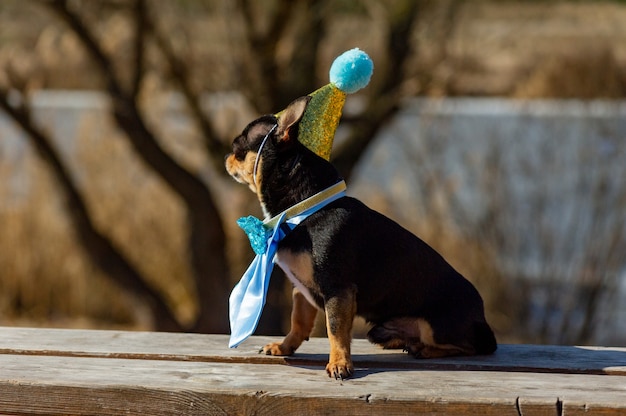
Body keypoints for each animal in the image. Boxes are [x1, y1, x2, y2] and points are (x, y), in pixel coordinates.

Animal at [225, 96, 498, 378]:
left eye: (238, 147)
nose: (227, 157)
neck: (302, 210)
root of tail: (481, 317)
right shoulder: (301, 289)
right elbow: (298, 322)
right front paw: (284, 347)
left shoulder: (337, 290)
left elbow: (335, 330)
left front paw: (339, 363)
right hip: (380, 329)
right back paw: (405, 342)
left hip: (437, 327)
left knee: (471, 346)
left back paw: (426, 349)